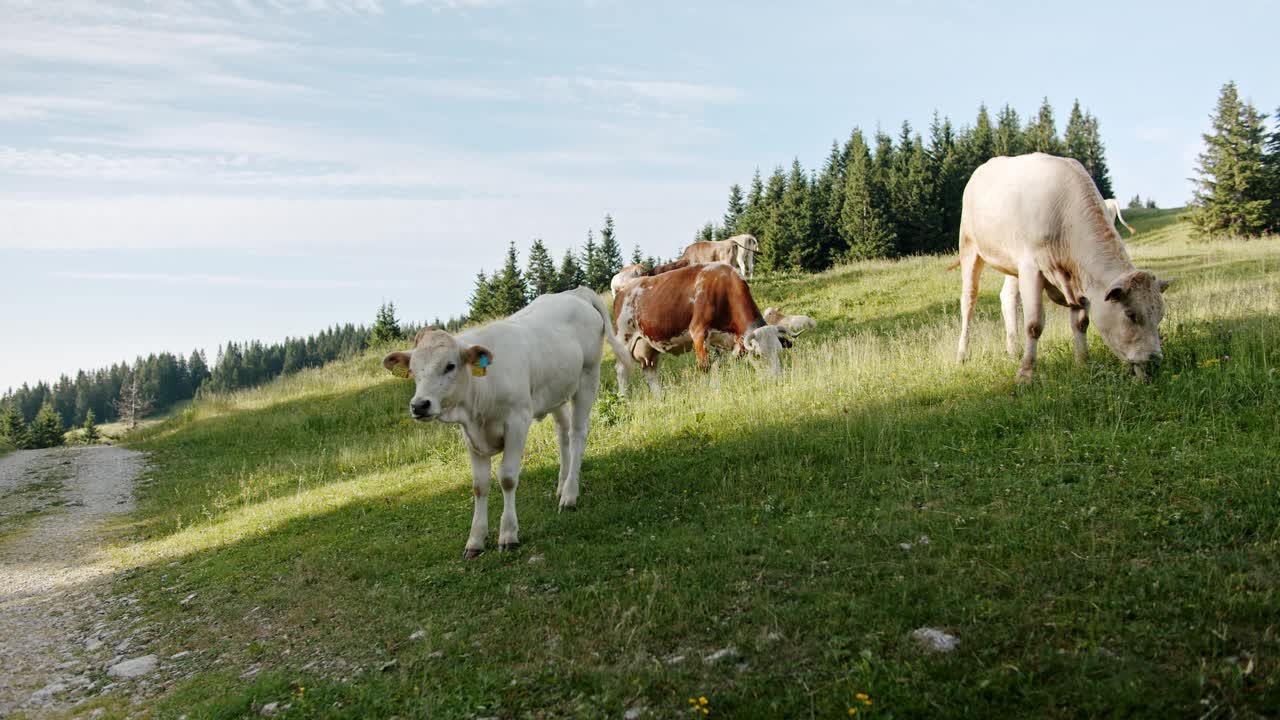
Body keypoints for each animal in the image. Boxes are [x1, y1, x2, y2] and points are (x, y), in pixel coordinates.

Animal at [384, 285, 634, 556]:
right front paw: (475, 540)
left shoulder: (516, 422)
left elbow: (507, 477)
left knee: (577, 433)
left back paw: (569, 495)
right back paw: (561, 486)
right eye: (413, 370)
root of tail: (576, 293)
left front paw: (508, 534)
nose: (419, 405)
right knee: (563, 431)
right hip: (554, 392)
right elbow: (479, 485)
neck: (478, 400)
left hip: (588, 378)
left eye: (450, 365)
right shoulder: (470, 435)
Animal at [609, 260, 778, 394]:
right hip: (624, 338)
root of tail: (625, 287)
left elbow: (718, 366)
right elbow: (704, 367)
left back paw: (658, 399)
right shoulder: (699, 331)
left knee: (650, 371)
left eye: (779, 351)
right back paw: (624, 399)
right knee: (621, 370)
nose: (777, 378)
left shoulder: (723, 340)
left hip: (647, 344)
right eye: (759, 355)